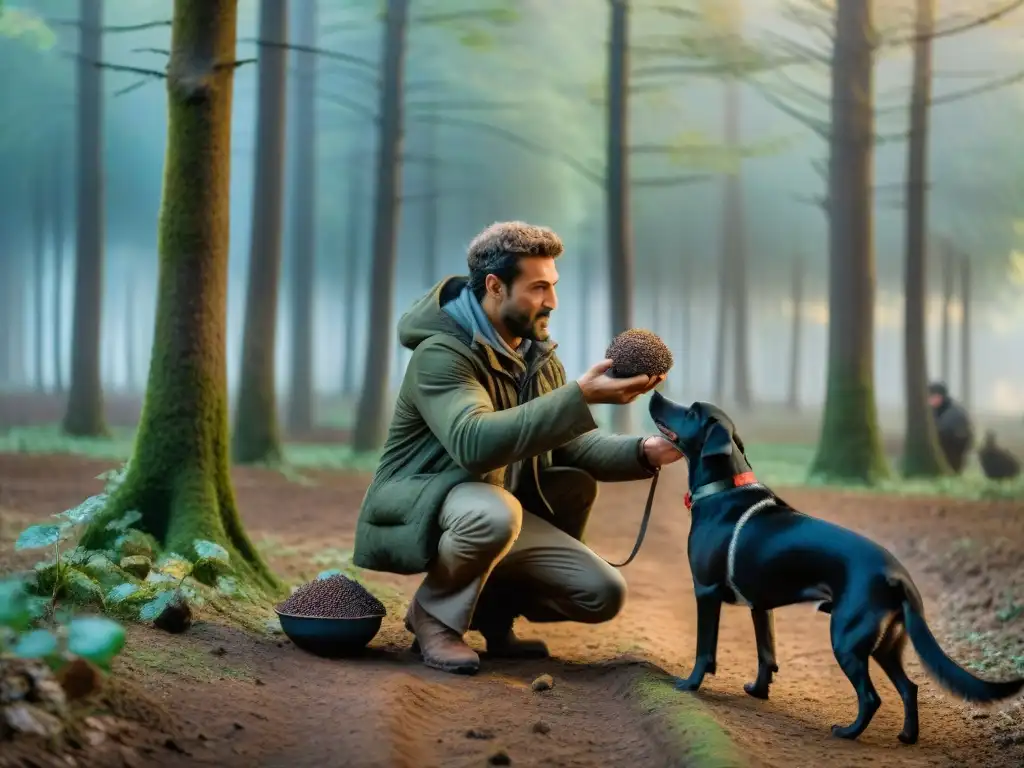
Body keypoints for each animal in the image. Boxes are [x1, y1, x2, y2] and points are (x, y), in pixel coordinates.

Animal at [647, 393, 1024, 741]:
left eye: (691, 411)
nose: (655, 395)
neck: (722, 489)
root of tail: (898, 576)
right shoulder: (761, 607)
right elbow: (766, 654)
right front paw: (759, 691)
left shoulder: (706, 592)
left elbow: (704, 649)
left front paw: (690, 684)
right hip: (886, 644)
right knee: (909, 687)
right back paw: (907, 736)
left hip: (846, 637)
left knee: (871, 697)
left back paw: (848, 732)